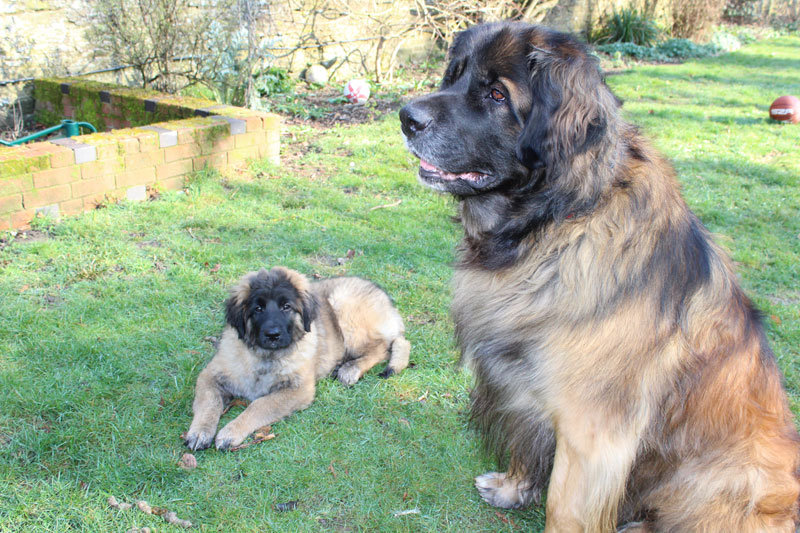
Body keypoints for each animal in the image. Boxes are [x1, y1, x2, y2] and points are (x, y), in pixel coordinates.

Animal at [184, 266, 410, 448]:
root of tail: (388, 302)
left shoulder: (298, 389)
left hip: (344, 309)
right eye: (258, 308)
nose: (272, 335)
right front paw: (199, 432)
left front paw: (231, 432)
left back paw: (350, 369)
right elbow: (209, 402)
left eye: (286, 307)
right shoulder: (210, 375)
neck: (266, 358)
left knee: (384, 347)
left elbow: (259, 405)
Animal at [400, 21, 800, 532]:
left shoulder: (594, 433)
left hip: (722, 481)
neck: (555, 224)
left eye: (496, 94)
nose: (406, 118)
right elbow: (527, 443)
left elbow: (564, 507)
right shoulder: (525, 389)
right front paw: (513, 487)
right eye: (453, 76)